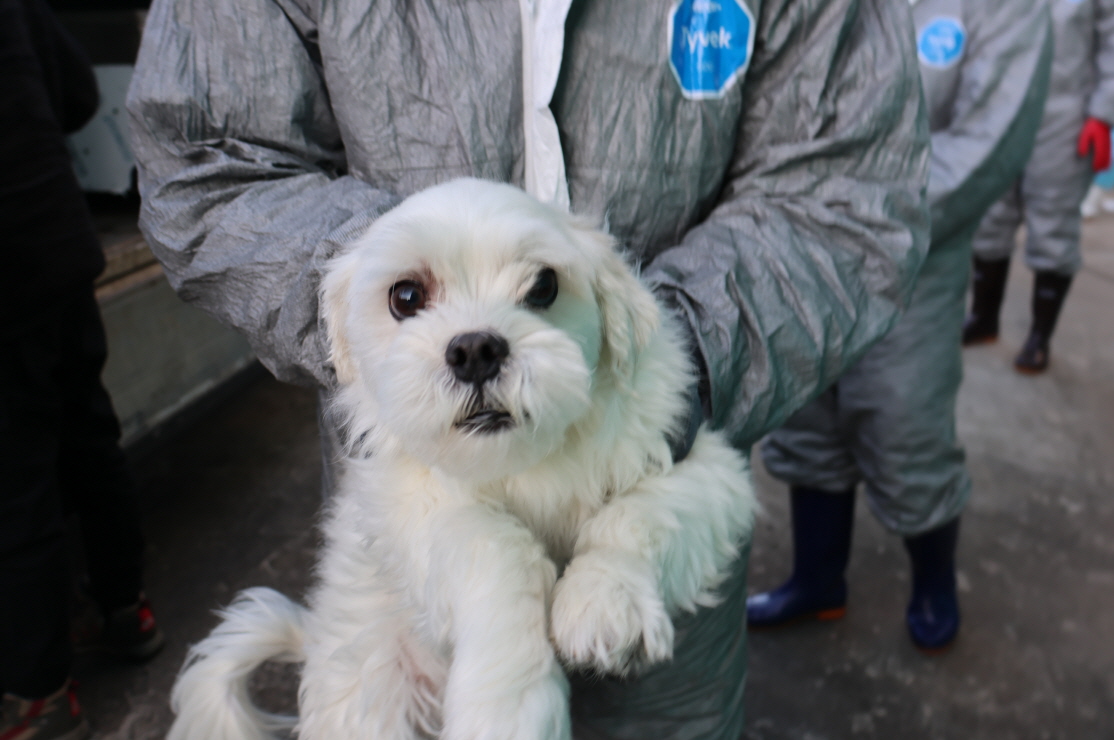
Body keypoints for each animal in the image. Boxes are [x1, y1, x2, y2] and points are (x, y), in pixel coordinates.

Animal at [167, 179, 757, 740]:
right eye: (406, 296)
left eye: (543, 286)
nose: (476, 349)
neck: (523, 463)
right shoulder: (416, 510)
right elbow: (499, 550)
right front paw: (508, 707)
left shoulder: (704, 465)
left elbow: (633, 517)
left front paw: (606, 603)